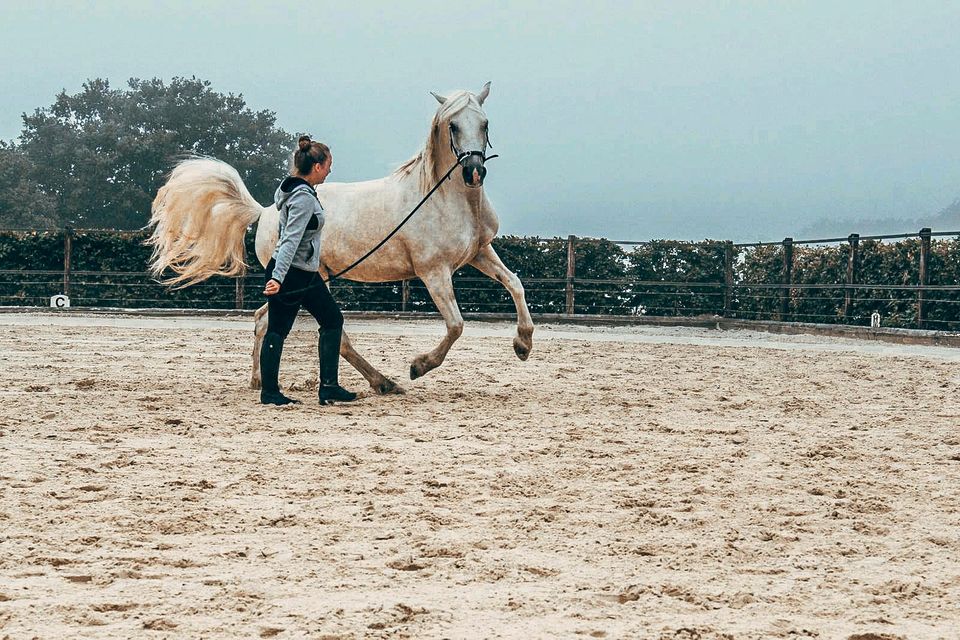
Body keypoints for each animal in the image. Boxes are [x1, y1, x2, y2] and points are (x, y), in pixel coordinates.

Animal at [154, 84, 536, 396]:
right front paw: (419, 366)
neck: (444, 198)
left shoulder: (479, 253)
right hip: (313, 280)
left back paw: (262, 381)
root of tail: (264, 212)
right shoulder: (434, 272)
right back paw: (383, 382)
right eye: (453, 125)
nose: (474, 172)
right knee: (332, 334)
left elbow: (515, 284)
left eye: (485, 123)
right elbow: (456, 325)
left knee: (265, 321)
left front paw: (523, 344)